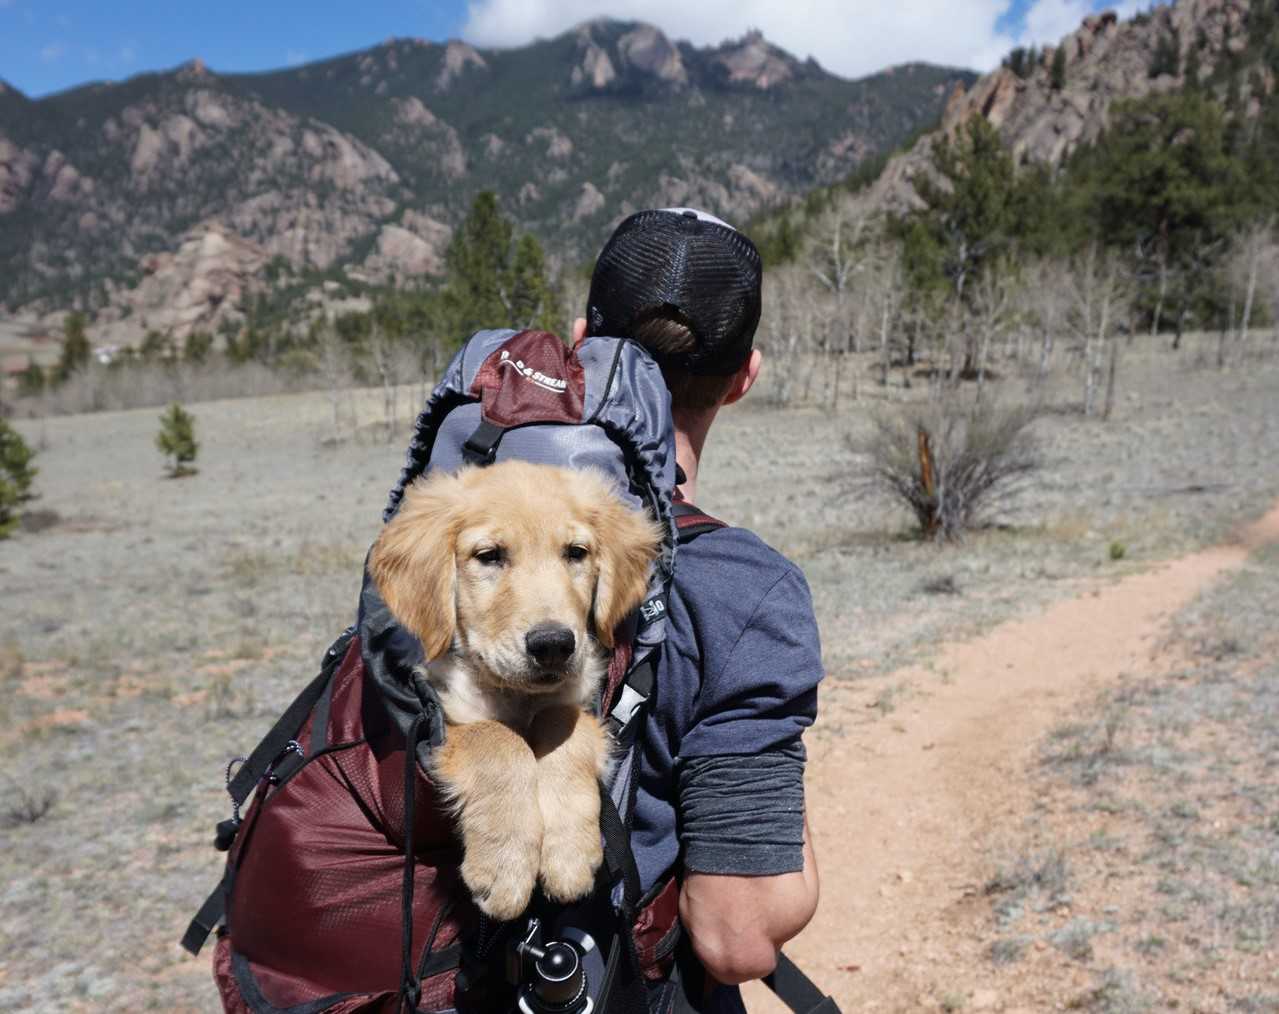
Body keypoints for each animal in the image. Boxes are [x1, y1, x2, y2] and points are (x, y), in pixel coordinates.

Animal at [365, 457, 654, 915]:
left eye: (576, 553)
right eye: (489, 556)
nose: (553, 645)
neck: (517, 696)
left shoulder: (579, 701)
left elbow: (563, 724)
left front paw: (568, 853)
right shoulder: (443, 715)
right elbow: (497, 738)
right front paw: (505, 866)